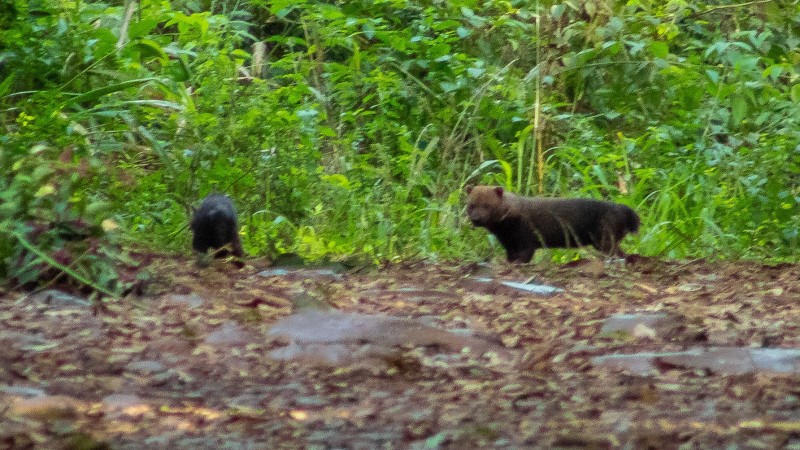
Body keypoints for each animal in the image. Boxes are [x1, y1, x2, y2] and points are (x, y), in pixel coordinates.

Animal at [466, 185, 640, 264]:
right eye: (471, 205)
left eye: (487, 205)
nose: (476, 219)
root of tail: (624, 210)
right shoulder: (509, 243)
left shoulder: (526, 238)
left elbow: (525, 255)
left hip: (604, 237)